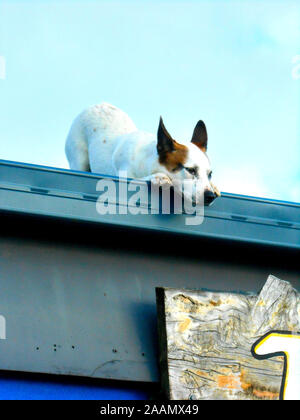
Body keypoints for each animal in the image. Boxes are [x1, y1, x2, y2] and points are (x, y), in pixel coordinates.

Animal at [65, 103, 219, 205]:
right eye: (190, 170)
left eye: (210, 174)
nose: (210, 196)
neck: (148, 160)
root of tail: (96, 105)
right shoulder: (124, 177)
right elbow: (137, 179)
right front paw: (158, 177)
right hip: (78, 157)